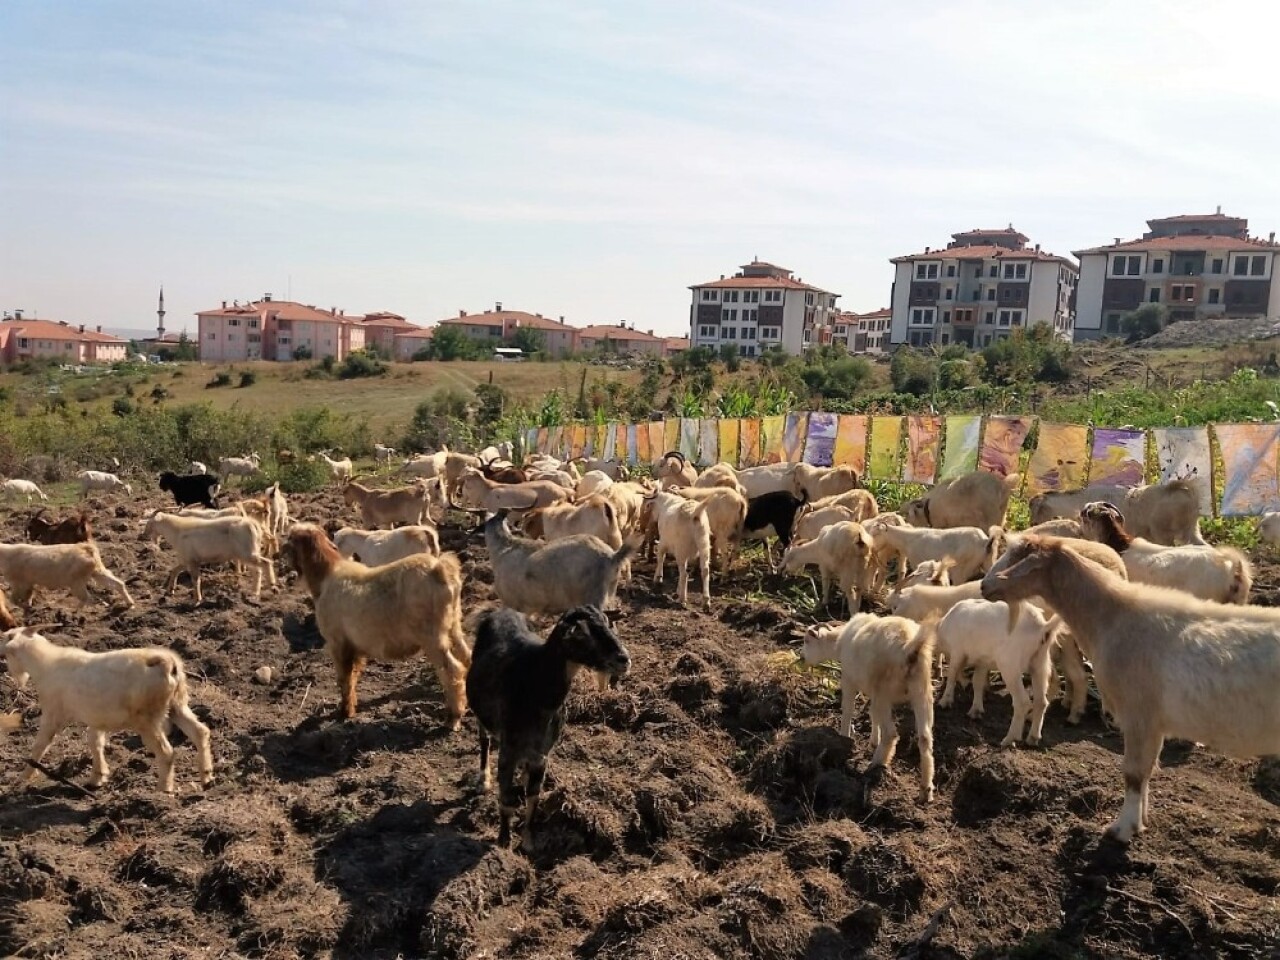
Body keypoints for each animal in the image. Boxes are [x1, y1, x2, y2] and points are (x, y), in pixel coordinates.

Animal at [142, 512, 275, 601]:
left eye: (150, 522)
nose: (144, 534)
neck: (177, 531)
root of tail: (254, 524)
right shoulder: (187, 560)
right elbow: (174, 570)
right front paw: (170, 590)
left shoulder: (192, 561)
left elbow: (195, 579)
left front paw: (197, 599)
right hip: (247, 553)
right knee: (257, 570)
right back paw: (254, 593)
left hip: (247, 553)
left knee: (266, 562)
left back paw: (272, 586)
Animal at [803, 616, 936, 803]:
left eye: (807, 641)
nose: (802, 658)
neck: (839, 641)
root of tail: (911, 646)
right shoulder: (872, 691)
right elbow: (873, 714)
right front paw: (873, 741)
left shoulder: (849, 679)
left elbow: (848, 708)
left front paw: (843, 738)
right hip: (921, 690)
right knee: (925, 738)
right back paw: (926, 790)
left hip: (885, 691)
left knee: (891, 734)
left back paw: (876, 764)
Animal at [983, 537, 1280, 844]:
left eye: (1018, 556)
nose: (983, 586)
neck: (1113, 617)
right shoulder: (1154, 724)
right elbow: (1147, 771)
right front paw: (1140, 821)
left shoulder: (1139, 714)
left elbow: (1134, 773)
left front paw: (1122, 829)